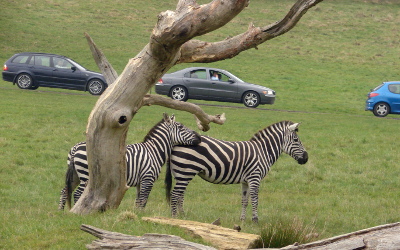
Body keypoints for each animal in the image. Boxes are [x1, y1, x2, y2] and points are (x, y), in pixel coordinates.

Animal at [57, 114, 202, 211]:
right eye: (181, 127)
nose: (199, 137)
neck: (153, 151)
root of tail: (75, 148)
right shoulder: (148, 178)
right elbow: (143, 199)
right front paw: (140, 217)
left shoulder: (140, 181)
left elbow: (139, 200)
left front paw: (135, 216)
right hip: (86, 176)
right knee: (77, 194)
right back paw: (75, 211)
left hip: (75, 175)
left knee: (65, 191)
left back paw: (61, 212)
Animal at [164, 121, 308, 223]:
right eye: (296, 140)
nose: (306, 158)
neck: (263, 151)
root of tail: (175, 143)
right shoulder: (255, 177)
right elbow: (255, 200)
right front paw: (255, 220)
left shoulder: (246, 181)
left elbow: (245, 200)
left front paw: (242, 220)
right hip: (185, 171)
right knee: (175, 195)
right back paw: (174, 218)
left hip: (182, 174)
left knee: (180, 195)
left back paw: (183, 216)